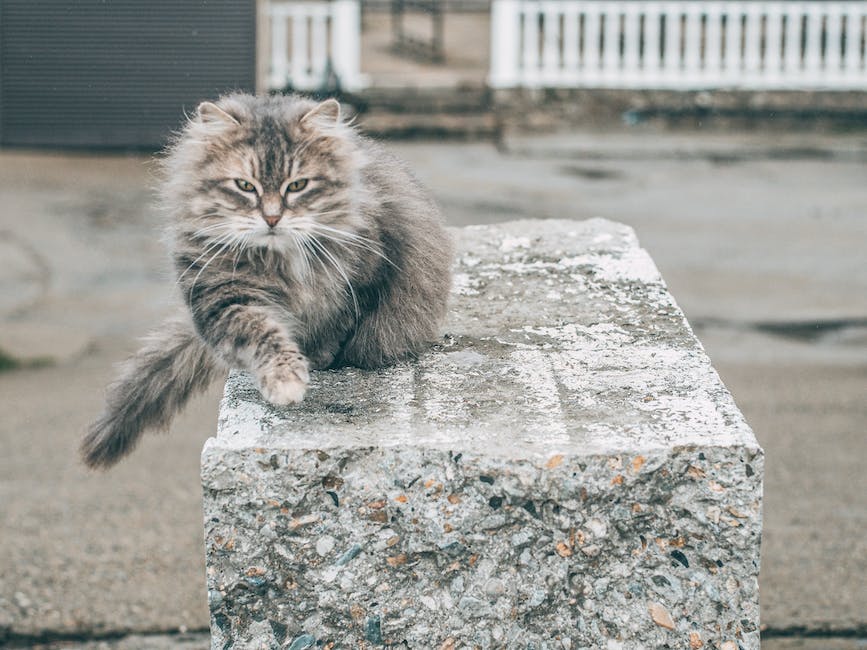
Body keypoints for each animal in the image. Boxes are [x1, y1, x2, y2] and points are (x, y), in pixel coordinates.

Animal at [81, 92, 454, 466]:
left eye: (298, 185)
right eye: (246, 186)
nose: (273, 218)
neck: (277, 262)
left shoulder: (363, 276)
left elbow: (338, 327)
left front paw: (317, 360)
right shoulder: (226, 298)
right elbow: (264, 337)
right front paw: (286, 381)